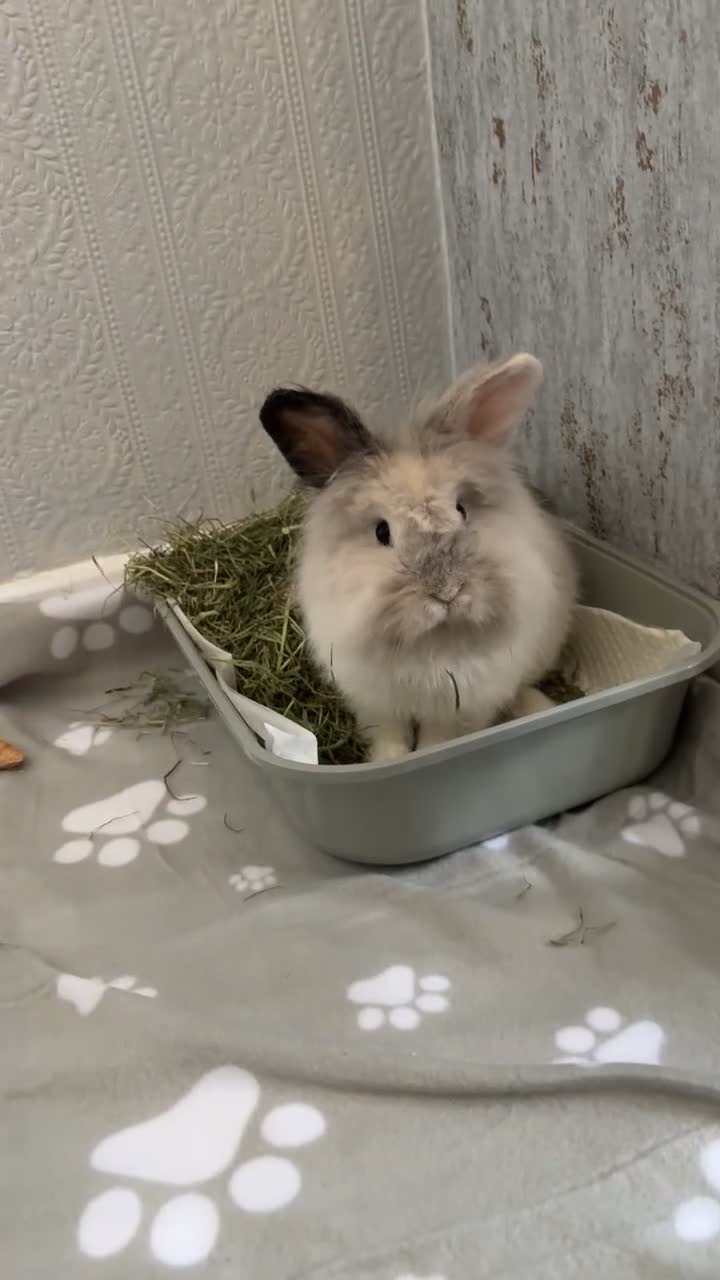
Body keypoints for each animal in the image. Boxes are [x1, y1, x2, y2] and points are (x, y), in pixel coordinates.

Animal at [259, 354, 577, 763]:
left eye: (461, 509)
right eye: (382, 532)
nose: (447, 592)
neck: (432, 642)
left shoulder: (459, 706)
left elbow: (435, 743)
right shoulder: (375, 703)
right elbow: (389, 738)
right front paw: (386, 762)